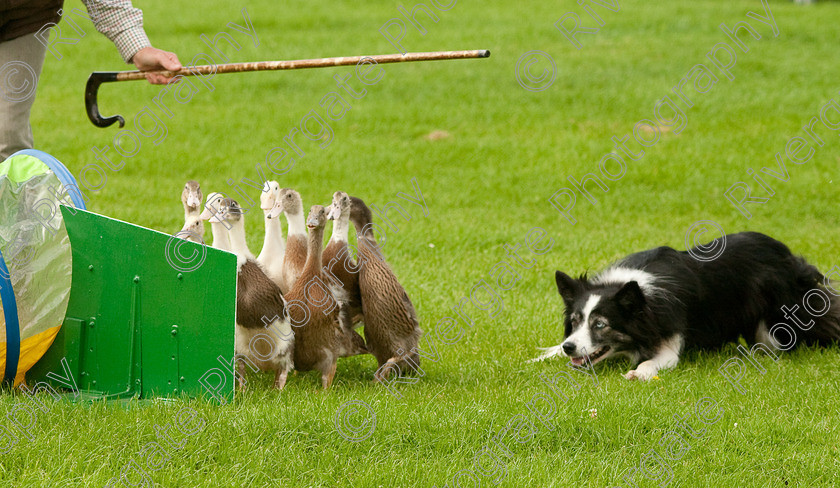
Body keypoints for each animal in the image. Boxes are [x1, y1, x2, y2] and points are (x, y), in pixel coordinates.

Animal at [536, 233, 840, 382]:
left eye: (600, 324)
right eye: (575, 321)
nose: (570, 347)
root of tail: (784, 252)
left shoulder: (671, 336)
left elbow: (655, 360)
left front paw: (638, 373)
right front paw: (544, 356)